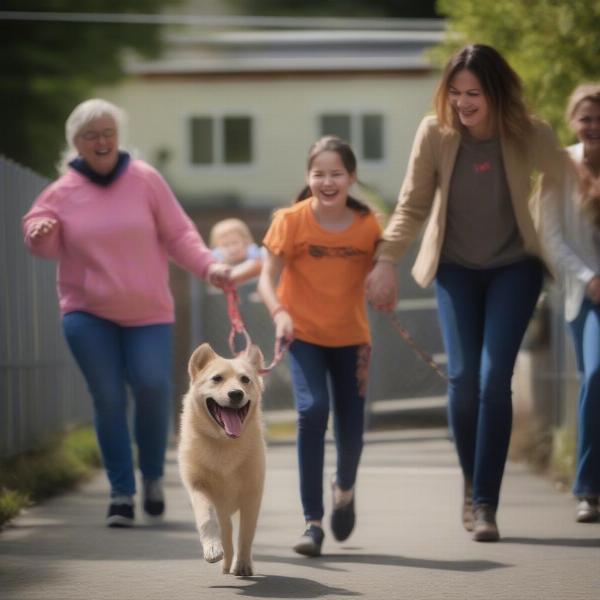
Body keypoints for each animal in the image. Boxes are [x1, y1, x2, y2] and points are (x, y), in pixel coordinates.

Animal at [177, 342, 264, 576]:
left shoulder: (252, 494)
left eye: (245, 379)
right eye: (217, 378)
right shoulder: (198, 486)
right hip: (222, 509)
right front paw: (213, 549)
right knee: (224, 530)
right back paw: (224, 562)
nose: (235, 394)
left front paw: (242, 565)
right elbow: (207, 518)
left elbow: (246, 533)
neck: (223, 443)